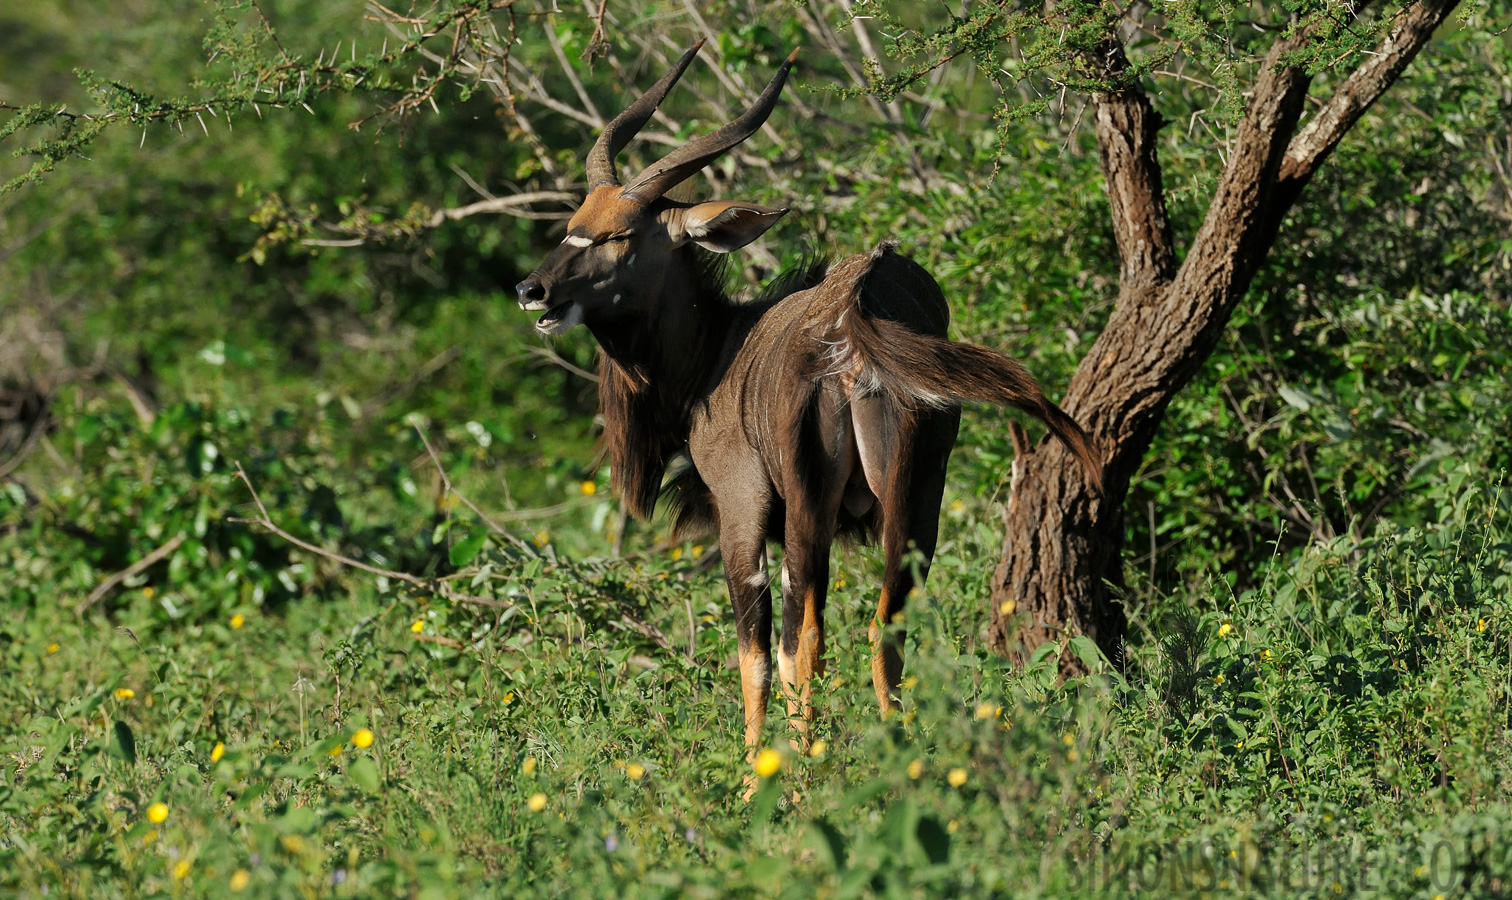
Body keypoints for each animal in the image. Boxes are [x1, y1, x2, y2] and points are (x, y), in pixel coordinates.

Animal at [514, 44, 1094, 759]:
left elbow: (758, 651)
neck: (720, 352)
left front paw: (752, 773)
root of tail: (856, 316)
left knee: (803, 639)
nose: (532, 291)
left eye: (618, 235)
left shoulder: (744, 511)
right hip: (915, 501)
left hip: (810, 509)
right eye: (572, 226)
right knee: (885, 626)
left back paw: (801, 770)